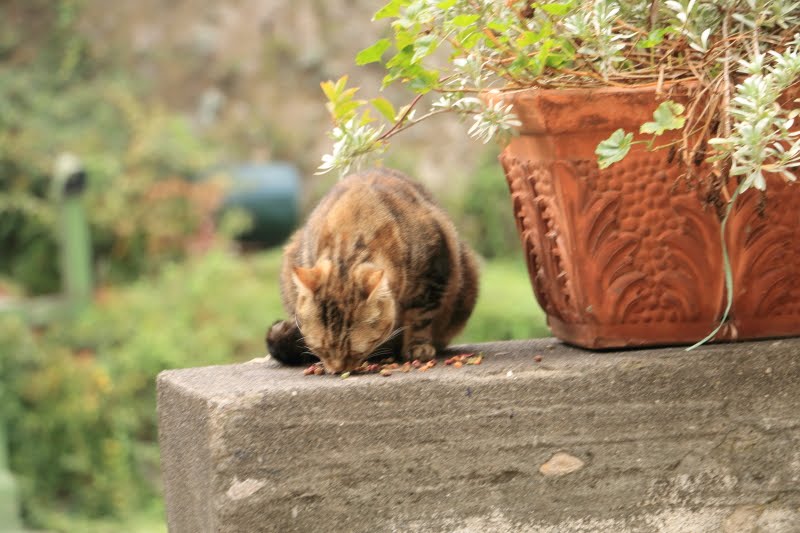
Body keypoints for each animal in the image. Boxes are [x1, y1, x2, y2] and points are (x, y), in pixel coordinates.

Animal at [266, 168, 478, 372]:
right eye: (321, 349)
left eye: (354, 351)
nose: (337, 370)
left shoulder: (434, 270)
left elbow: (421, 317)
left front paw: (418, 346)